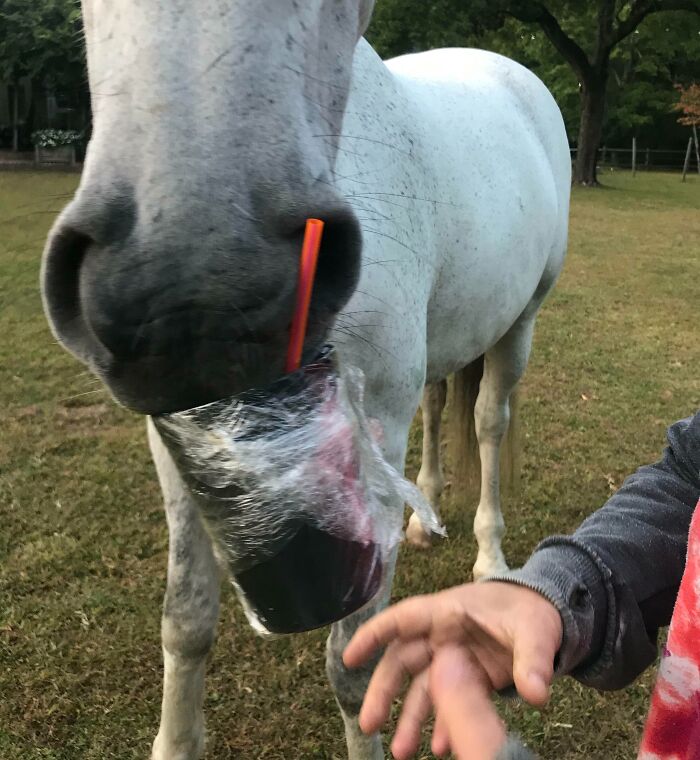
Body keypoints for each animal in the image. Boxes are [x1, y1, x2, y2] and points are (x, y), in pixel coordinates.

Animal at [40, 1, 571, 757]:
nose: (186, 297)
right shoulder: (174, 446)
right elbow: (186, 620)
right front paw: (175, 740)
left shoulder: (373, 432)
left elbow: (353, 665)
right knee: (440, 407)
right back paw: (425, 519)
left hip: (518, 325)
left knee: (489, 425)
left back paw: (490, 559)